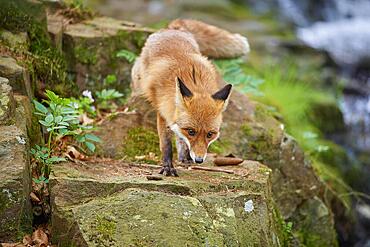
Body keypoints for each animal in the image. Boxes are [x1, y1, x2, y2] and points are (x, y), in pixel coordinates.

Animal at [132, 18, 250, 176]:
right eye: (191, 132)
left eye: (210, 134)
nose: (199, 160)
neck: (192, 79)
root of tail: (173, 29)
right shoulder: (163, 113)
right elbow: (166, 145)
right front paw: (167, 166)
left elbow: (181, 139)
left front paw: (185, 155)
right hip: (138, 78)